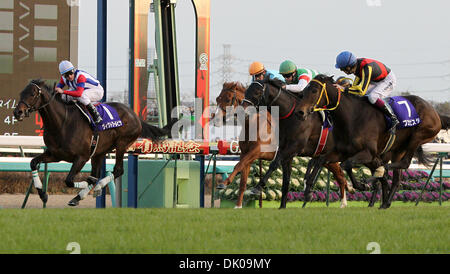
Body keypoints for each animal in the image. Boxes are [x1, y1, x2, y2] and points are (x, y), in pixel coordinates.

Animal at [12, 79, 174, 206]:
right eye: (21, 93)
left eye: (32, 94)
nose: (17, 112)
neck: (62, 122)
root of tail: (134, 115)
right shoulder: (55, 154)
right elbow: (33, 163)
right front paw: (43, 194)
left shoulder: (82, 157)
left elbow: (69, 180)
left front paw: (85, 186)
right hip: (99, 151)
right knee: (96, 173)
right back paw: (79, 196)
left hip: (122, 144)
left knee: (117, 170)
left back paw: (97, 187)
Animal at [218, 80, 356, 209]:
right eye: (217, 99)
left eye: (228, 99)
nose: (217, 118)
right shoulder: (248, 153)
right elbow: (243, 179)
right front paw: (238, 205)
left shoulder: (259, 151)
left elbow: (240, 165)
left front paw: (224, 183)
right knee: (339, 175)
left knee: (340, 176)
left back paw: (343, 202)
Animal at [296, 74, 446, 208]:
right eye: (304, 92)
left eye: (314, 90)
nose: (300, 112)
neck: (353, 117)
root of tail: (434, 111)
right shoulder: (342, 151)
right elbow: (322, 161)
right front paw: (308, 191)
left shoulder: (368, 153)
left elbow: (346, 164)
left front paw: (362, 184)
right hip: (398, 150)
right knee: (396, 178)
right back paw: (385, 203)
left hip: (418, 136)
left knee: (402, 163)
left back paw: (379, 176)